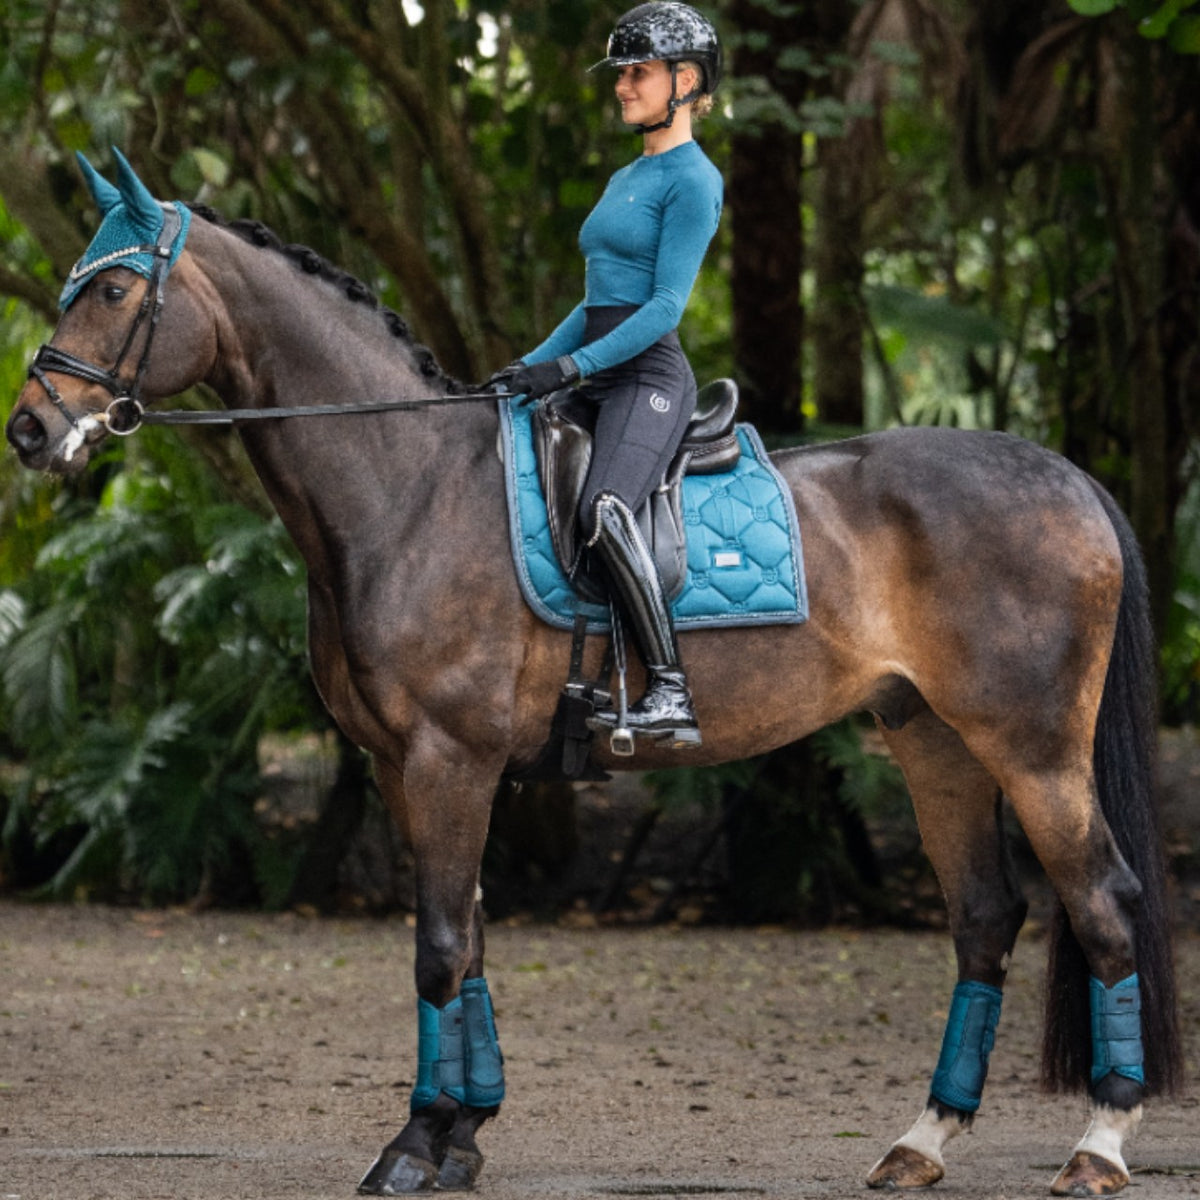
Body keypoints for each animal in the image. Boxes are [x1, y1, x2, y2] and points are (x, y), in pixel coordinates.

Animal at [6, 153, 1181, 1197]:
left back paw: (1099, 1147)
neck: (410, 489)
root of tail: (1067, 477)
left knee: (1104, 903)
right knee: (985, 918)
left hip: (1033, 748)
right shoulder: (406, 767)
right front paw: (464, 1137)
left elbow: (439, 947)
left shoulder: (448, 759)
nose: (29, 427)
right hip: (933, 738)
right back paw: (921, 1142)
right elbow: (470, 941)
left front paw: (416, 1145)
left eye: (114, 288)